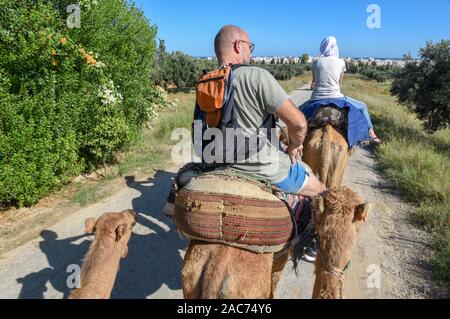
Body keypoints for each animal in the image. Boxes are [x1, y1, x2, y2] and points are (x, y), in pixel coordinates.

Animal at [179, 188, 370, 300]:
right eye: (321, 232)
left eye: (358, 228)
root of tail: (214, 276)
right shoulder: (282, 254)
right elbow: (275, 278)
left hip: (190, 282)